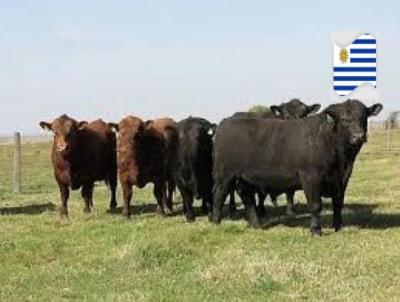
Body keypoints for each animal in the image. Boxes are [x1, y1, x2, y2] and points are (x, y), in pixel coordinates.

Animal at [211, 100, 382, 235]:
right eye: (344, 119)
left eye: (364, 117)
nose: (359, 136)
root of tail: (224, 123)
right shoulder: (311, 177)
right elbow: (315, 205)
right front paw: (316, 230)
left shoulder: (342, 179)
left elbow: (338, 203)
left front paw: (338, 227)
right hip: (225, 173)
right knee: (219, 194)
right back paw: (216, 222)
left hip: (246, 177)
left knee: (246, 196)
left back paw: (257, 225)